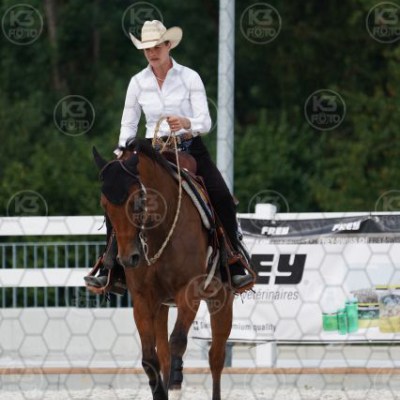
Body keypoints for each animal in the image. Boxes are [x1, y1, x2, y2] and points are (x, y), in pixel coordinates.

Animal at [93, 138, 234, 400]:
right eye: (104, 205)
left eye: (138, 201)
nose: (129, 258)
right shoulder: (143, 298)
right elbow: (151, 358)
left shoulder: (189, 292)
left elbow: (178, 341)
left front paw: (176, 386)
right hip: (162, 306)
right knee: (166, 355)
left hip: (221, 299)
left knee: (216, 358)